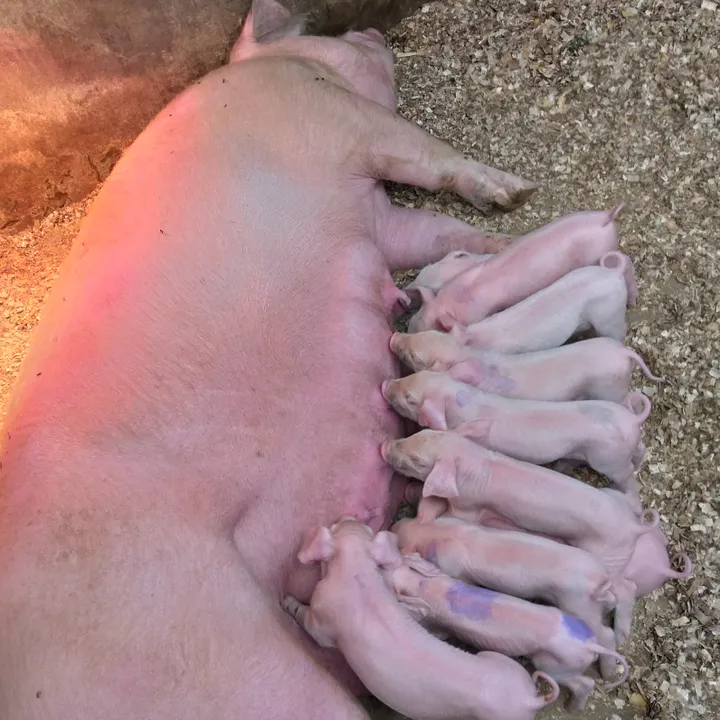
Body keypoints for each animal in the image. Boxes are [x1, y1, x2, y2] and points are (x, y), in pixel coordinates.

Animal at [285, 518, 559, 720]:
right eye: (367, 530)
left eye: (333, 528)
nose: (349, 517)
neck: (355, 572)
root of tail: (530, 699)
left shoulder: (323, 615)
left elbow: (311, 624)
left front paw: (286, 600)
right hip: (500, 661)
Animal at [381, 371, 651, 504]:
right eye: (416, 373)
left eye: (411, 399)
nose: (385, 384)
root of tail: (631, 420)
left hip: (609, 459)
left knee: (627, 475)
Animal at [381, 430, 660, 578]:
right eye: (421, 432)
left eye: (418, 461)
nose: (385, 446)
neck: (472, 463)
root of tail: (635, 528)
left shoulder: (469, 507)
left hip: (608, 554)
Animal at [383, 554, 629, 712]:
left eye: (390, 583)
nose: (382, 566)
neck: (425, 586)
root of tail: (588, 644)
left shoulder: (437, 621)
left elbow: (438, 632)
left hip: (555, 665)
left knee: (584, 683)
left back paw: (571, 710)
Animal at [408, 206, 637, 333]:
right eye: (414, 319)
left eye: (433, 329)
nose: (407, 330)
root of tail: (605, 218)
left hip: (599, 253)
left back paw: (632, 302)